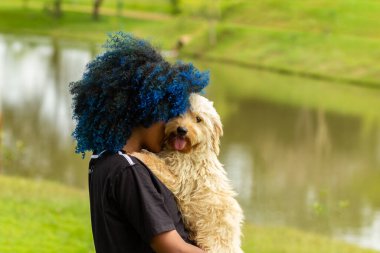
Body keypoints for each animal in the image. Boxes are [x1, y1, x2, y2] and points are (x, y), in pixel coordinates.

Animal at [134, 94, 243, 252]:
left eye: (198, 119)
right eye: (178, 112)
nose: (181, 130)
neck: (189, 151)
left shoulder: (180, 180)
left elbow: (157, 163)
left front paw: (138, 154)